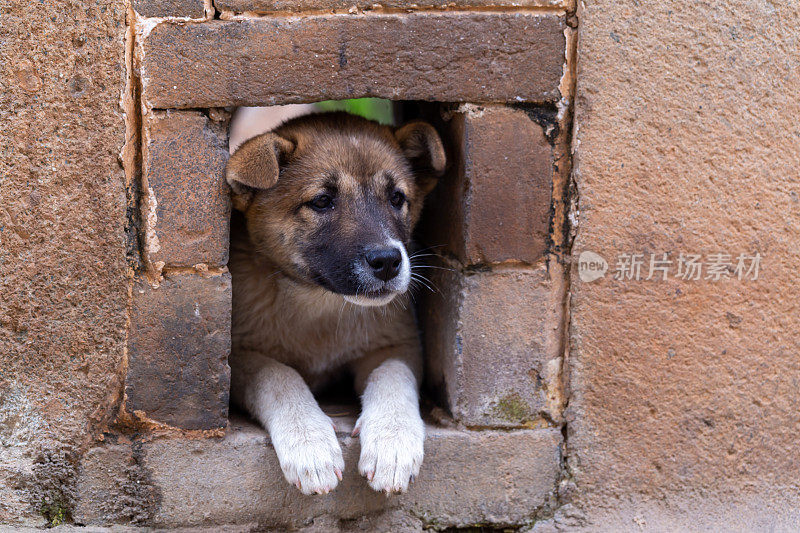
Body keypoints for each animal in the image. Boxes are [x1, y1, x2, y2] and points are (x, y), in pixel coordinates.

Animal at [228, 112, 446, 494]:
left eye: (396, 198)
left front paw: (393, 443)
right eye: (321, 201)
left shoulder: (396, 345)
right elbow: (277, 375)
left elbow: (393, 376)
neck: (320, 306)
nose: (388, 261)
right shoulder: (239, 354)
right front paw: (309, 443)